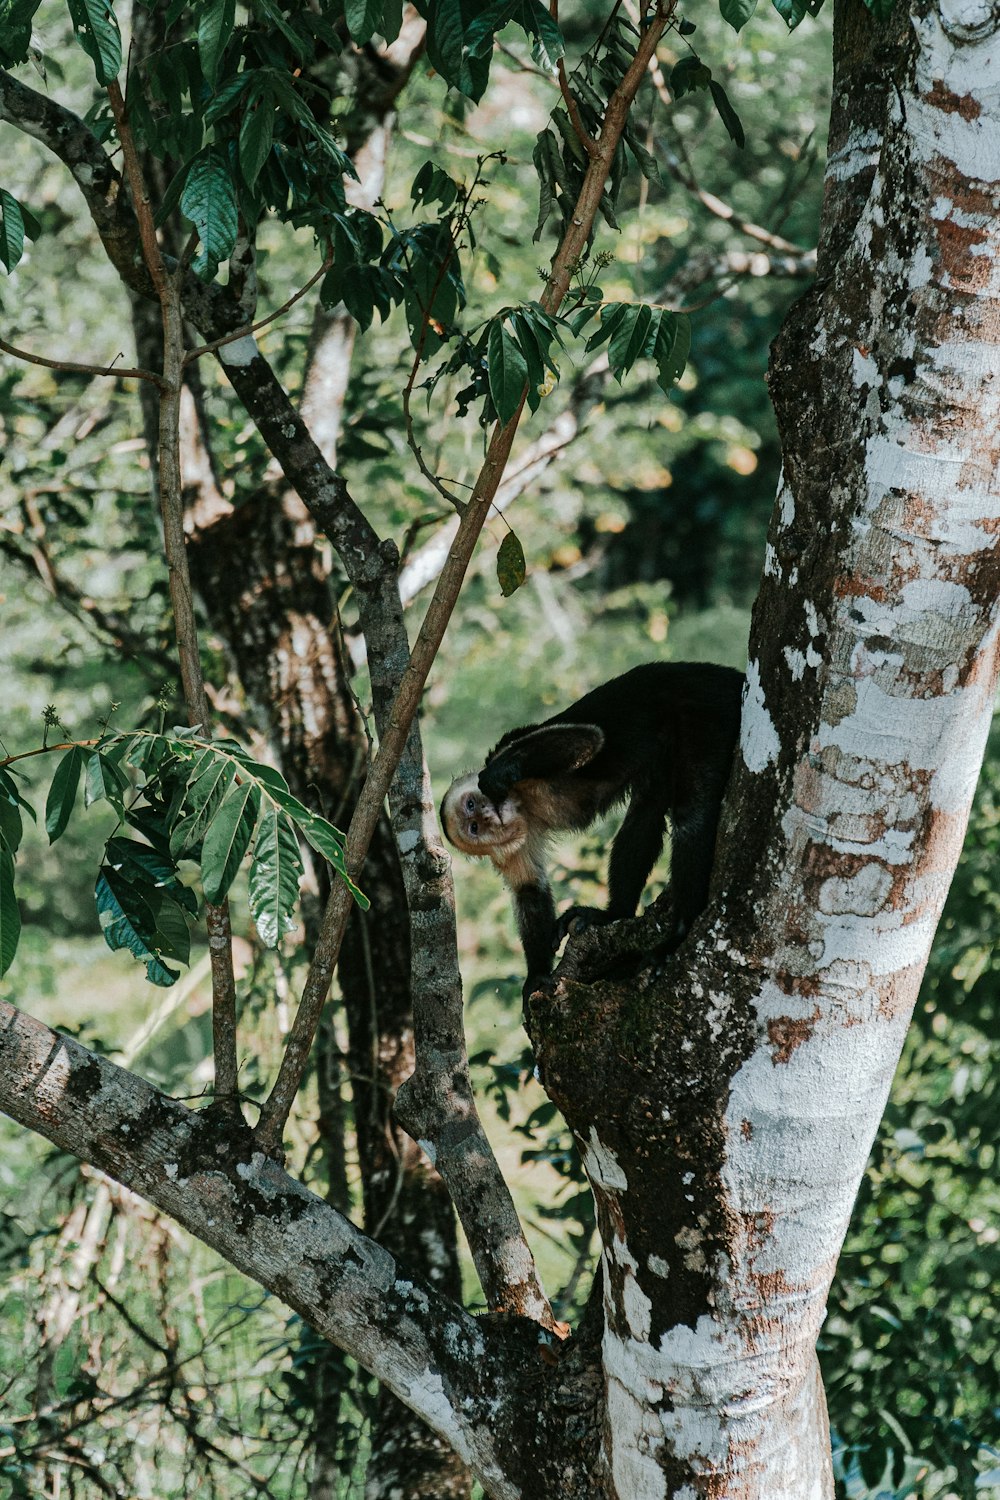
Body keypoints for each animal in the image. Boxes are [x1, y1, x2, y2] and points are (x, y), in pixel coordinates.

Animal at [440, 660, 746, 996]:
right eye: (473, 828)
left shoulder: (506, 754)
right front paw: (537, 975)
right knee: (647, 808)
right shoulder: (512, 841)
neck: (524, 805)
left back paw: (679, 933)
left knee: (691, 811)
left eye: (471, 805)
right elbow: (529, 889)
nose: (486, 815)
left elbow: (586, 739)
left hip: (705, 703)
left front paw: (498, 774)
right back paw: (615, 914)